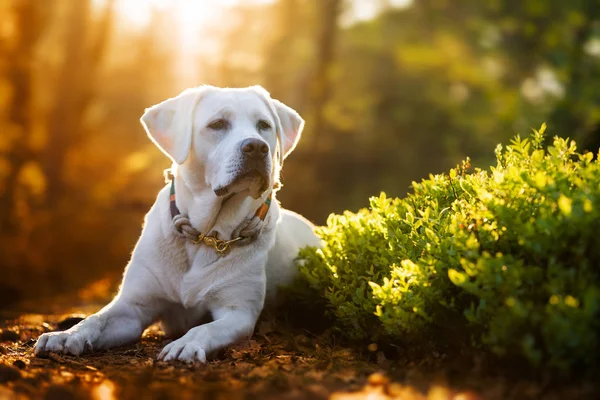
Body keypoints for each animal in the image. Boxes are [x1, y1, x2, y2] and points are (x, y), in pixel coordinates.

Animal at [34, 84, 318, 362]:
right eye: (217, 124)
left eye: (264, 125)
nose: (257, 147)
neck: (205, 234)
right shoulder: (132, 307)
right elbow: (96, 319)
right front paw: (67, 335)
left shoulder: (238, 312)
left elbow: (204, 328)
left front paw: (185, 345)